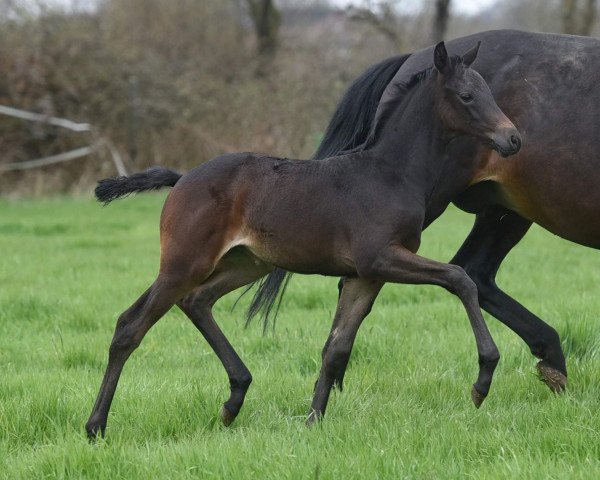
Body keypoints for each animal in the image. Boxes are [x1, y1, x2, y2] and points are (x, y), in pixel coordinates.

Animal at [85, 42, 520, 438]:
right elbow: (459, 278)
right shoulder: (381, 258)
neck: (390, 174)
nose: (513, 139)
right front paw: (483, 379)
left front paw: (312, 423)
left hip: (243, 264)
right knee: (130, 327)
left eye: (488, 91)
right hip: (183, 263)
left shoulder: (366, 275)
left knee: (195, 302)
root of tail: (182, 179)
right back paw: (96, 426)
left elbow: (336, 347)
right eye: (467, 96)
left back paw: (233, 400)